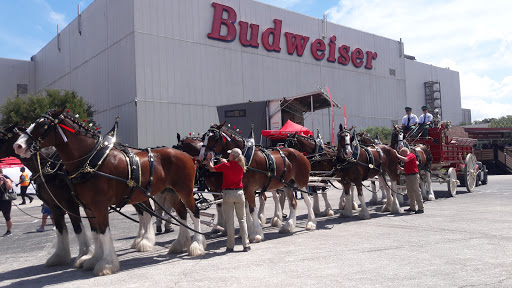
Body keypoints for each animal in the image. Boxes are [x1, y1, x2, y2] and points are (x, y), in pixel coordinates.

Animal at [12, 109, 204, 276]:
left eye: (43, 125)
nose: (18, 145)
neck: (90, 161)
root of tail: (186, 154)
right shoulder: (87, 207)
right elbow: (96, 232)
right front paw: (93, 259)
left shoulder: (98, 206)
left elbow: (103, 232)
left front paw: (107, 264)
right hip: (170, 192)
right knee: (181, 213)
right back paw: (180, 244)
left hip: (185, 190)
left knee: (194, 212)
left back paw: (197, 245)